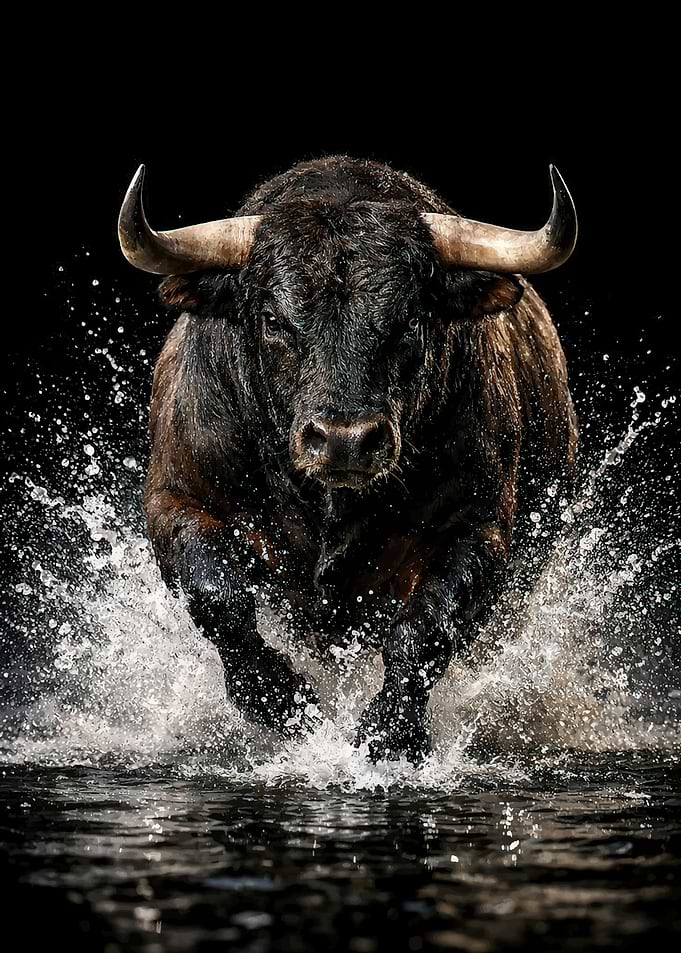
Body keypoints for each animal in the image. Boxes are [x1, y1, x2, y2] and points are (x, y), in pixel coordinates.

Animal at [118, 155, 578, 763]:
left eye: (409, 320)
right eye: (274, 320)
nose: (344, 441)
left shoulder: (478, 526)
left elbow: (428, 626)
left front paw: (390, 732)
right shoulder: (177, 497)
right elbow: (216, 595)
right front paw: (279, 698)